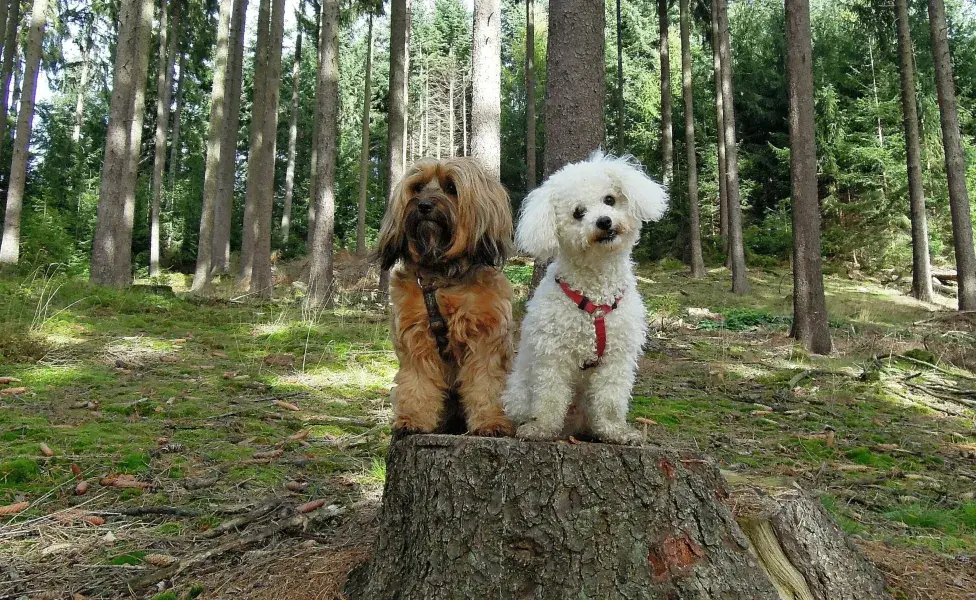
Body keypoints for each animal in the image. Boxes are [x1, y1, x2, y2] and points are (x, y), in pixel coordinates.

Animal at [378, 158, 520, 436]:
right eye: (417, 187)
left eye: (451, 188)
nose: (424, 206)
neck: (443, 276)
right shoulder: (415, 335)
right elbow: (417, 381)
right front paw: (413, 419)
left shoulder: (486, 336)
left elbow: (486, 382)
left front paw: (491, 422)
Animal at [504, 151, 672, 446]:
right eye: (578, 213)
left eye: (610, 200)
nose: (603, 221)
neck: (596, 293)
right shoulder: (553, 354)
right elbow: (549, 396)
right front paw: (541, 428)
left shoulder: (617, 358)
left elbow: (611, 399)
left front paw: (615, 431)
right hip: (518, 391)